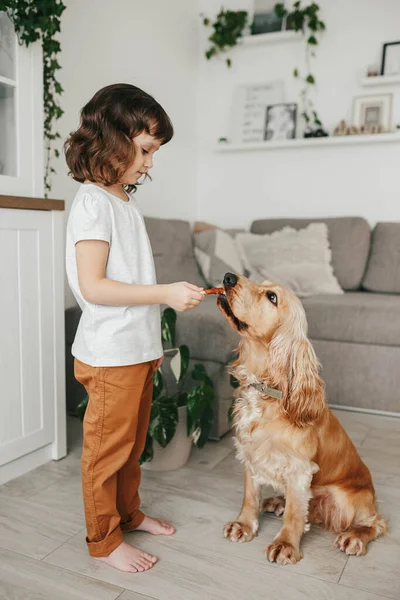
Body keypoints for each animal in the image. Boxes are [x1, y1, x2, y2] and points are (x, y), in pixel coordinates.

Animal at [217, 274, 386, 564]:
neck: (268, 391)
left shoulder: (299, 469)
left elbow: (296, 512)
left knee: (375, 522)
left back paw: (354, 537)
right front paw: (244, 525)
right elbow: (250, 496)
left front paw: (285, 544)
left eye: (272, 297)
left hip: (346, 498)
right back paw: (276, 501)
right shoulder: (250, 455)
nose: (228, 277)